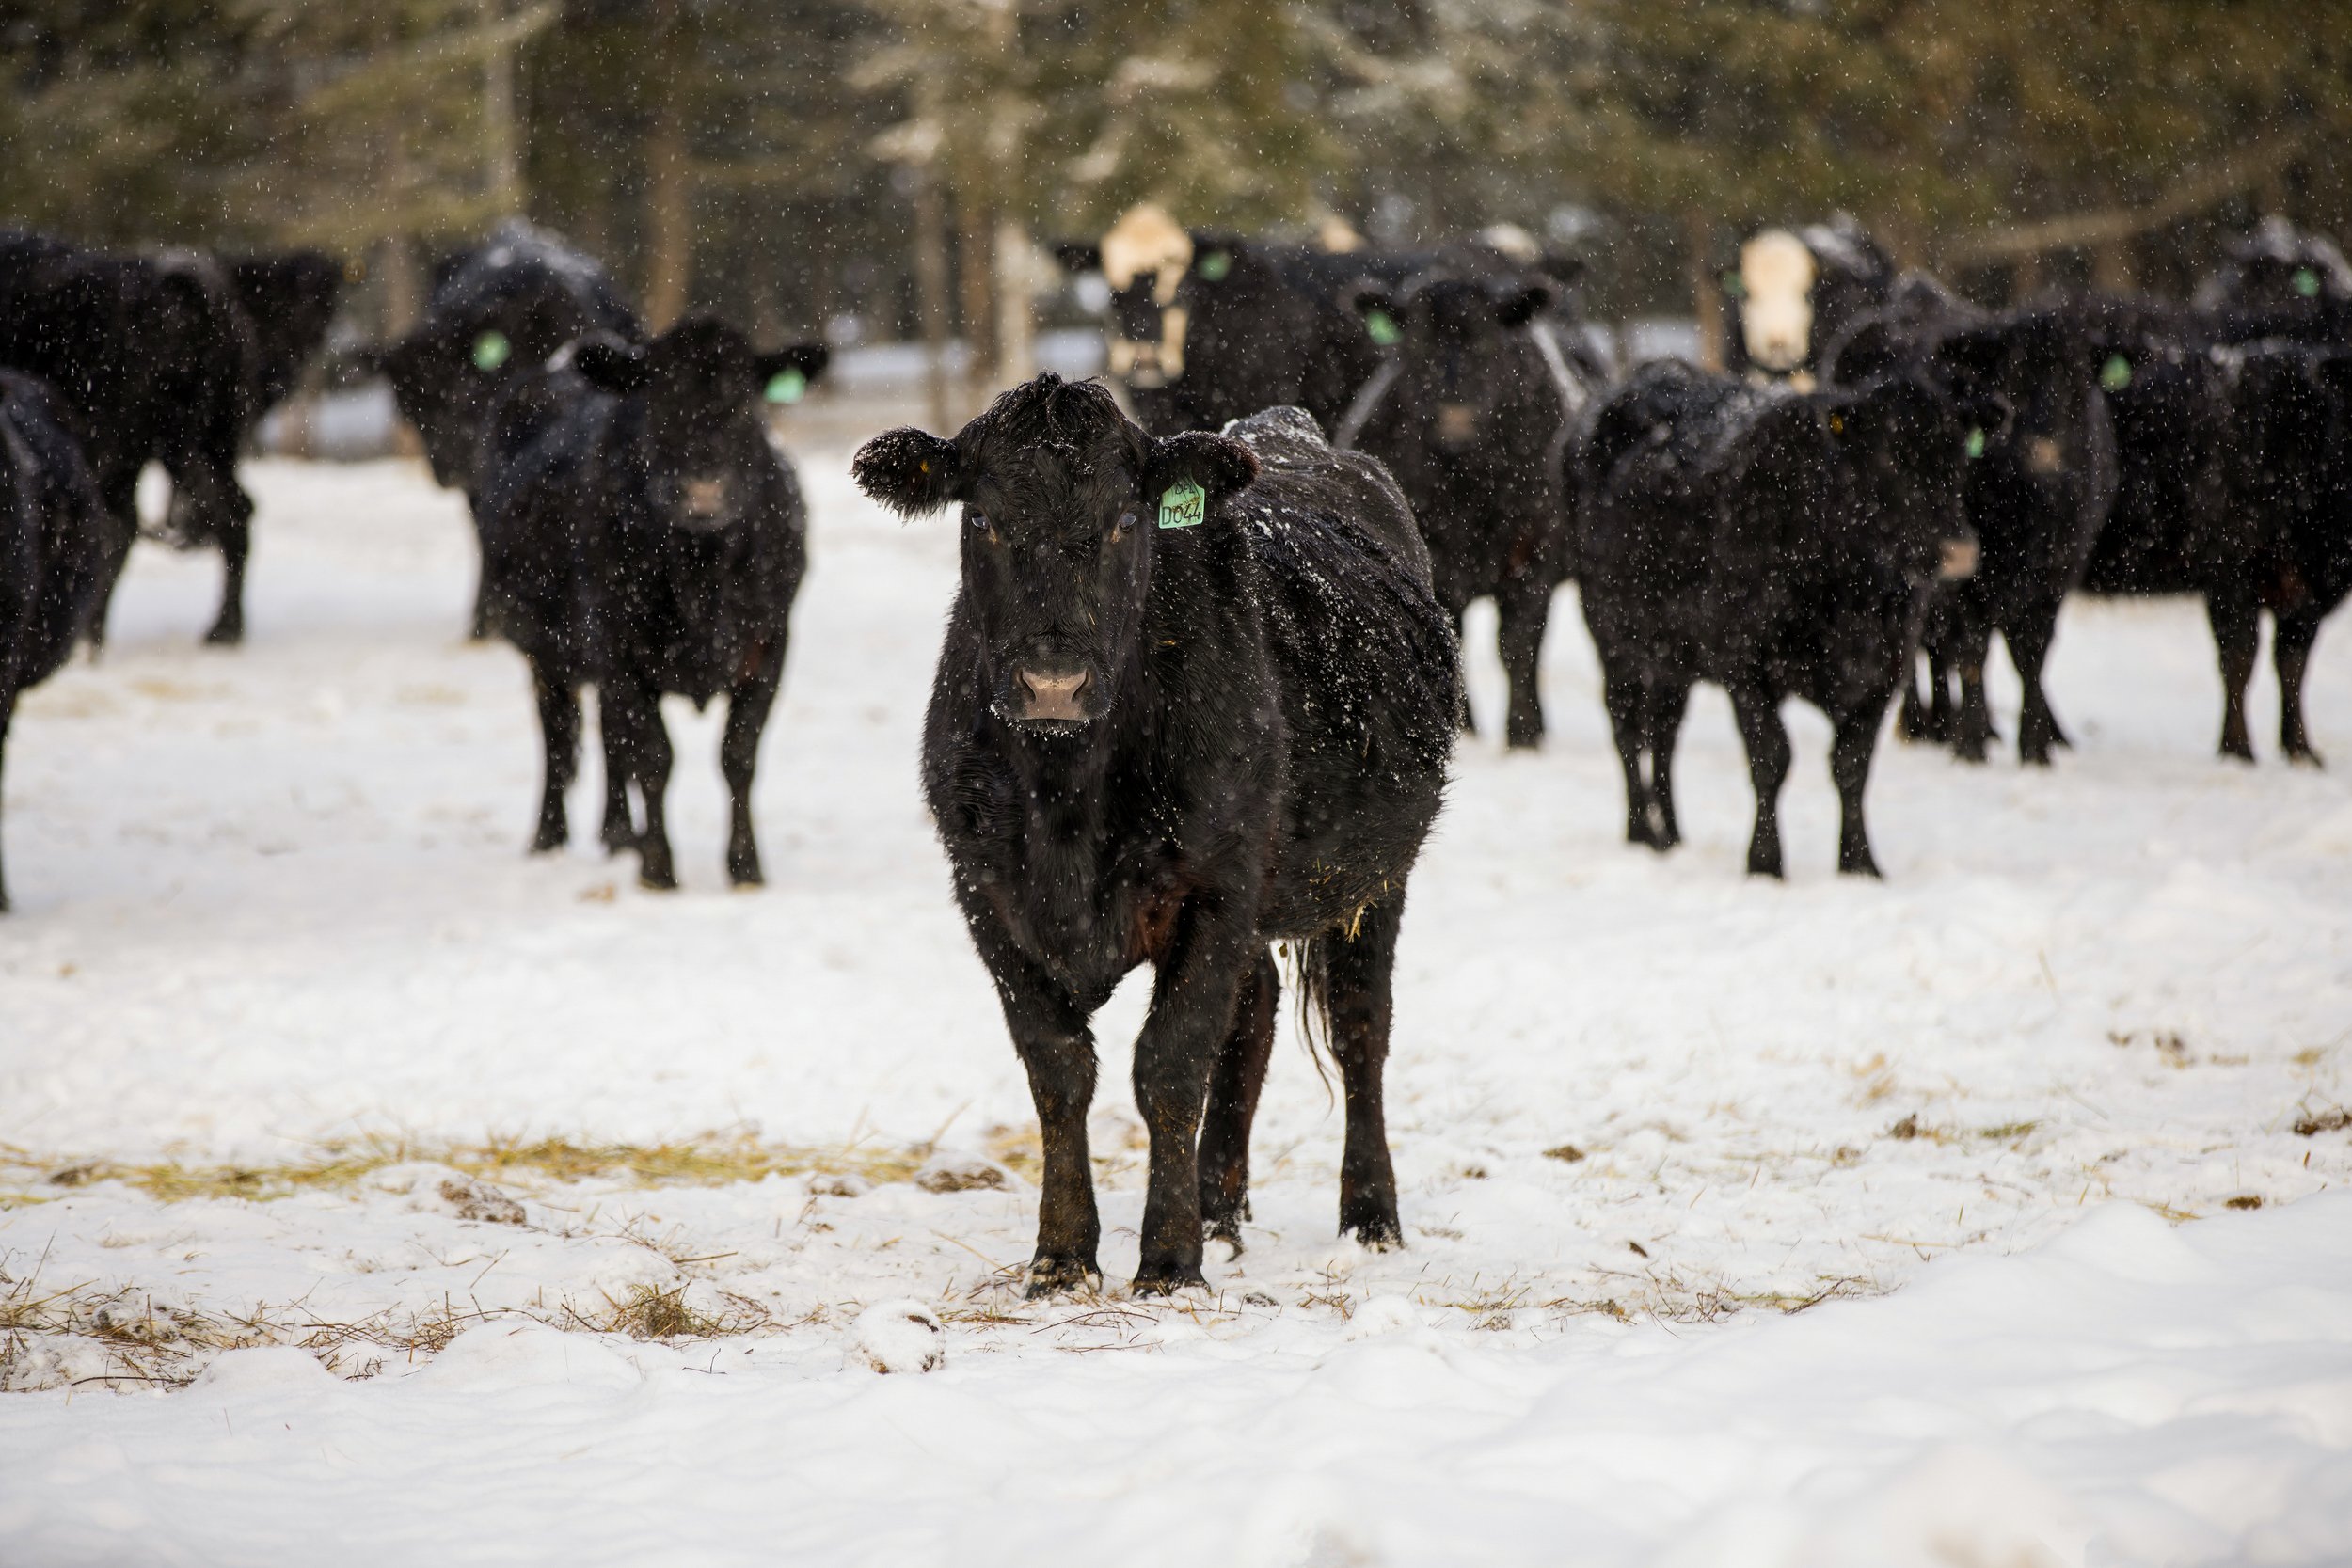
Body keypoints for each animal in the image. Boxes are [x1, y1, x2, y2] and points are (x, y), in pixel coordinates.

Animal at [472, 316, 826, 889]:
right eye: (658, 404)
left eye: (748, 404)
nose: (703, 493)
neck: (701, 573)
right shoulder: (619, 649)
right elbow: (655, 757)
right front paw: (659, 869)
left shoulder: (770, 643)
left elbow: (738, 756)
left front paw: (746, 868)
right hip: (545, 650)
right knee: (559, 737)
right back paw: (550, 836)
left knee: (611, 740)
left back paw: (618, 834)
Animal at [852, 378, 1460, 1294]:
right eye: (982, 517)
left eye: (1125, 519)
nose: (1053, 683)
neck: (1066, 799)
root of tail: (1288, 429)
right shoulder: (987, 894)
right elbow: (1060, 1069)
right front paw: (1063, 1254)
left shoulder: (1215, 887)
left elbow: (1168, 1064)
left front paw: (1169, 1261)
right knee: (1254, 1015)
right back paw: (1221, 1211)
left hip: (1372, 880)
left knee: (1360, 1029)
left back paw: (1369, 1218)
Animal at [1340, 258, 1606, 747]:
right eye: (1413, 347)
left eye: (1487, 344)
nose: (1454, 418)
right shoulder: (1435, 562)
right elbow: (1452, 639)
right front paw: (1465, 732)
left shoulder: (1534, 554)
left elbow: (1518, 644)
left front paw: (1523, 735)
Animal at [1577, 361, 1977, 876]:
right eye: (1889, 457)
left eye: (1960, 455)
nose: (1959, 550)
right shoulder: (1745, 664)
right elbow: (1771, 758)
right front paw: (1765, 864)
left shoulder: (1883, 671)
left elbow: (1852, 765)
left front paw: (1859, 864)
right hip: (1614, 640)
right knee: (1627, 728)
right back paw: (1641, 833)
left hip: (1671, 658)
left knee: (1663, 733)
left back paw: (1671, 835)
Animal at [1827, 300, 2120, 763]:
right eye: (2012, 382)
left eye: (2079, 389)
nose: (2048, 453)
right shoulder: (1963, 582)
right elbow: (1971, 651)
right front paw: (1970, 746)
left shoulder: (2057, 574)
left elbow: (2031, 657)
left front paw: (2033, 748)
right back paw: (1925, 725)